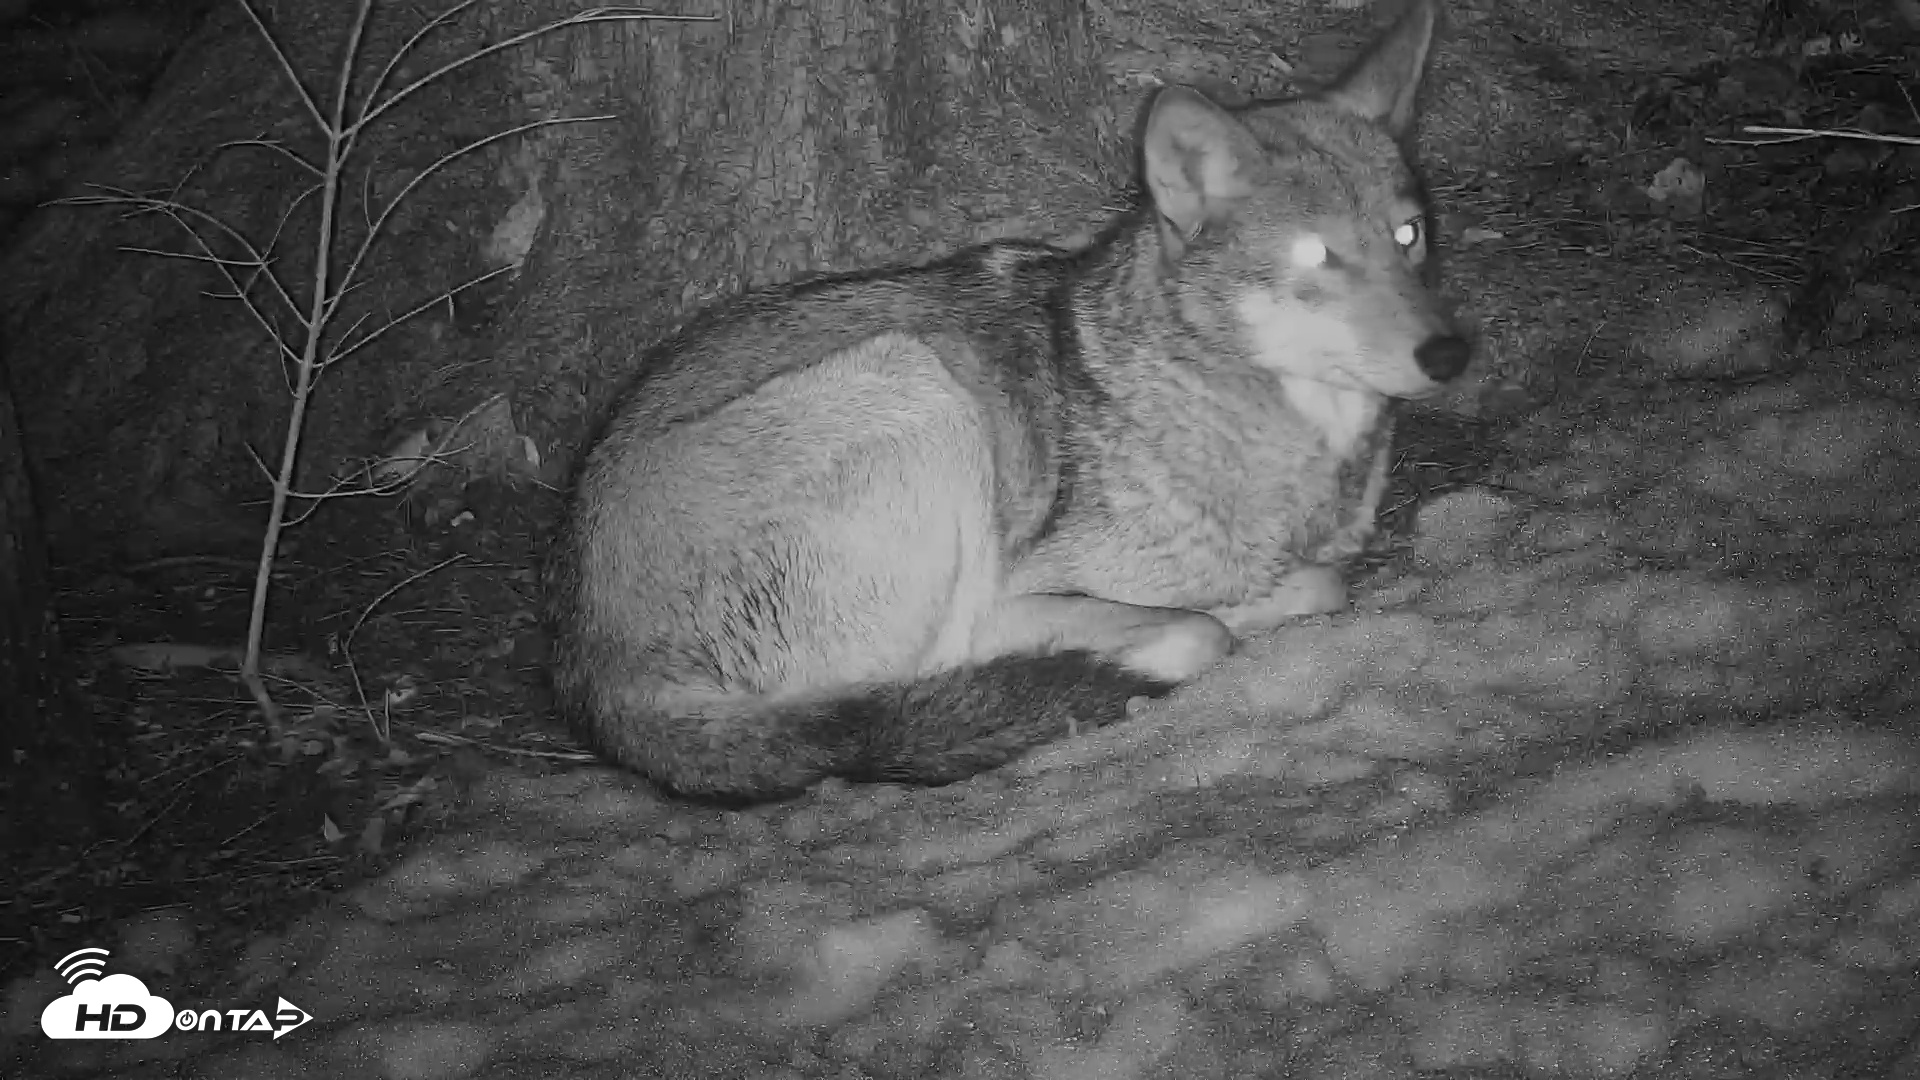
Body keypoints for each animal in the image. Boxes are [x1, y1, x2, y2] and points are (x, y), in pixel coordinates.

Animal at [549, 0, 1470, 802]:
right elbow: (1203, 617)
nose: (1450, 353)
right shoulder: (1017, 591)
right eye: (1317, 257)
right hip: (916, 384)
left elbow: (1320, 584)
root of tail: (595, 670)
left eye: (1409, 235)